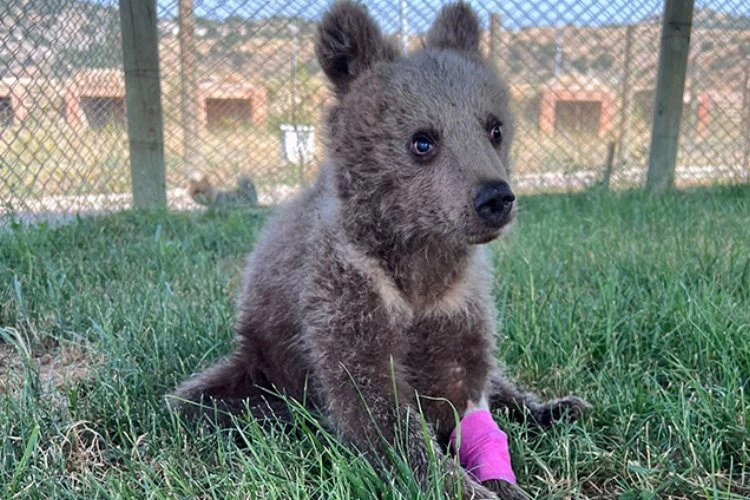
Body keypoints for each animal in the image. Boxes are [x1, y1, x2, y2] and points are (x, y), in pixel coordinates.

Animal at [170, 2, 589, 498]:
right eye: (422, 140)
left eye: (495, 128)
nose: (495, 198)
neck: (417, 256)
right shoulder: (345, 291)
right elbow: (377, 409)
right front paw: (465, 483)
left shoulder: (456, 303)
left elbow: (464, 385)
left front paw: (499, 470)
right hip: (262, 361)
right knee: (204, 401)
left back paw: (557, 407)